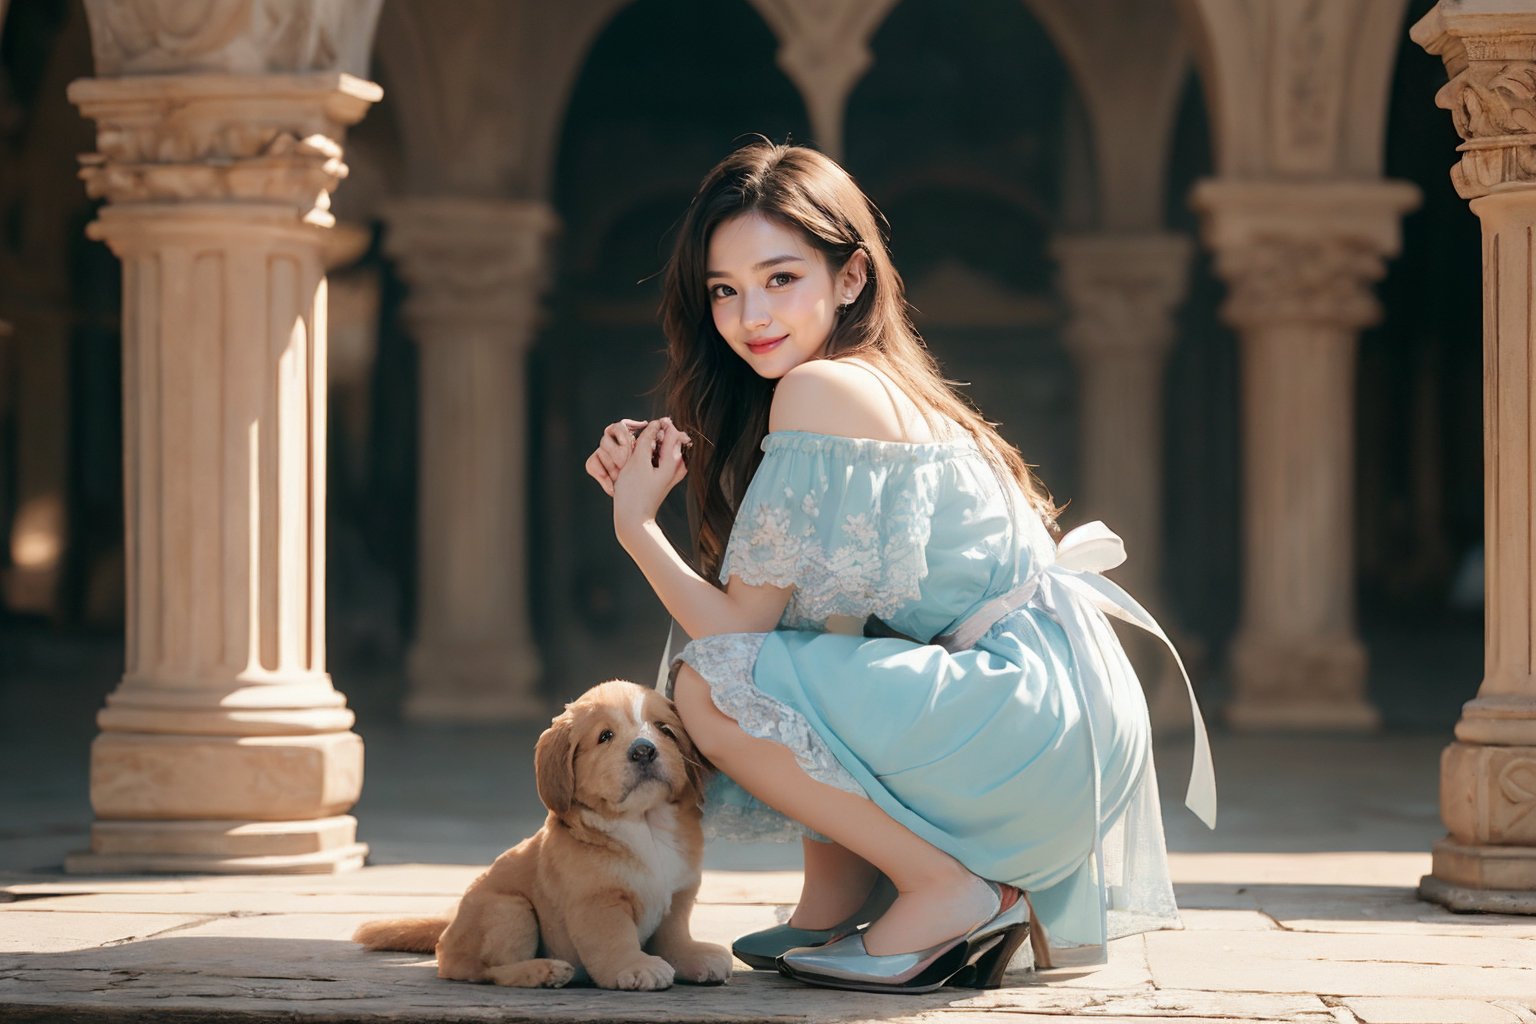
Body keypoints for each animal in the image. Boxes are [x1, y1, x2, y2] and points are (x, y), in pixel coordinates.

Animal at [353, 681, 731, 994]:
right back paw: (544, 972)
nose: (643, 751)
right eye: (605, 736)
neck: (646, 827)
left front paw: (693, 957)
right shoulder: (598, 904)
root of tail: (447, 934)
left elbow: (673, 936)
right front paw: (636, 967)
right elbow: (616, 942)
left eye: (664, 730)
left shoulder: (678, 897)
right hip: (511, 910)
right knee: (487, 972)